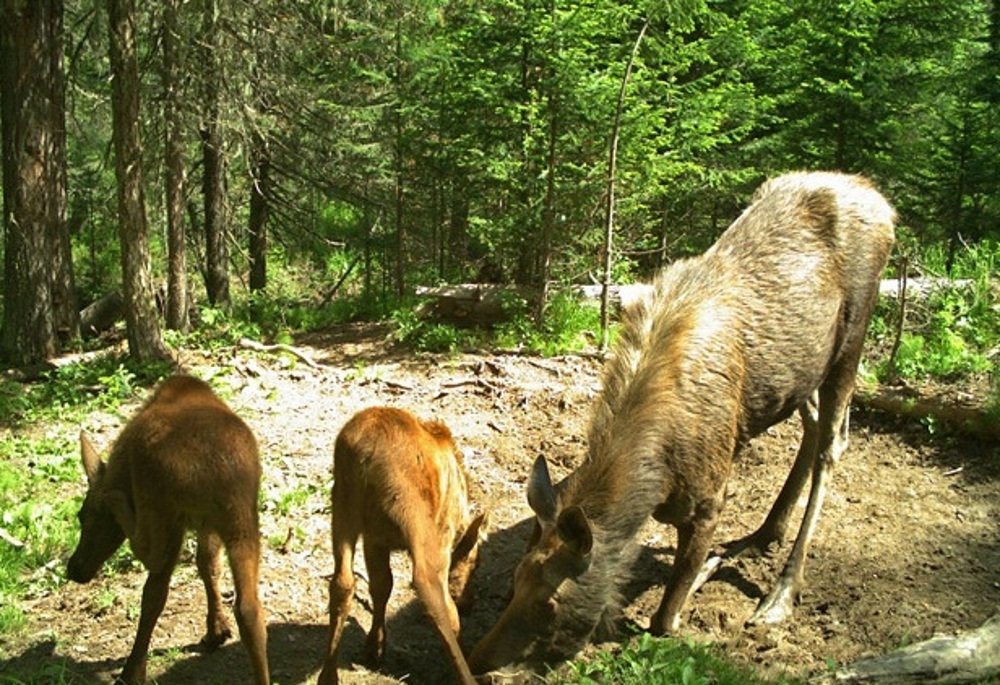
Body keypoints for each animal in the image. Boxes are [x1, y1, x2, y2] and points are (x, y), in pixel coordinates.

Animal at [66, 374, 270, 684]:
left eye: (82, 515)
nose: (74, 568)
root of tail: (214, 473)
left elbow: (157, 591)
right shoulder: (208, 525)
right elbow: (208, 565)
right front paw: (216, 630)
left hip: (163, 513)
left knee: (151, 579)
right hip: (241, 519)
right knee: (248, 607)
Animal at [318, 406, 486, 684]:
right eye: (475, 563)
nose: (470, 600)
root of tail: (364, 450)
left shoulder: (374, 538)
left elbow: (381, 585)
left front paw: (375, 647)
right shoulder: (443, 534)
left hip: (343, 505)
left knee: (342, 582)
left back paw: (328, 675)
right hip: (415, 515)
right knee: (429, 587)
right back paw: (466, 674)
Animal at [468, 170, 900, 672]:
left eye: (550, 603)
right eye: (514, 582)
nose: (476, 659)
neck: (657, 478)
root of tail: (883, 203)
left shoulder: (710, 499)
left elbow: (664, 620)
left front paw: (705, 572)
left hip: (854, 336)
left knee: (834, 442)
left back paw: (781, 593)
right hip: (805, 370)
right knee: (812, 428)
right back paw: (763, 533)